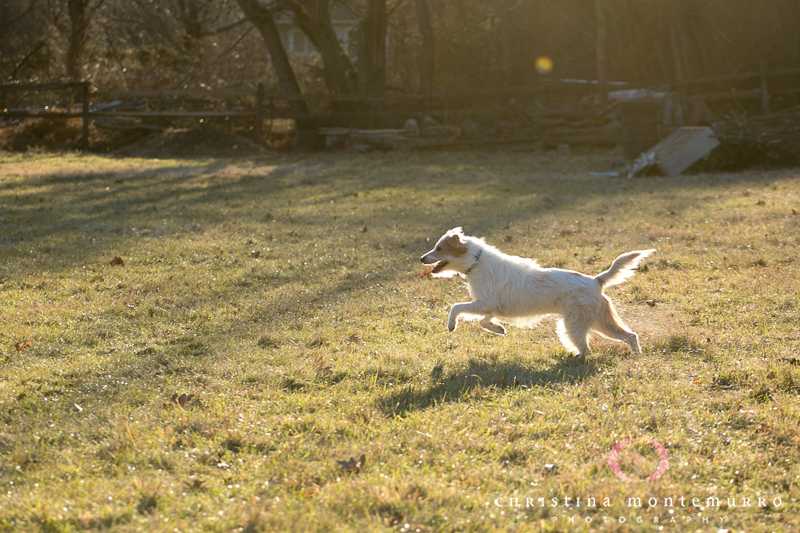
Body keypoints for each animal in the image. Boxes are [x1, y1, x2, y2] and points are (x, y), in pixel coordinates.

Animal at [422, 228, 652, 358]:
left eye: (439, 248)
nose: (421, 258)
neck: (477, 262)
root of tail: (596, 280)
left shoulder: (483, 303)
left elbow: (456, 308)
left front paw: (451, 325)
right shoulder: (489, 307)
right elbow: (483, 321)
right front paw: (498, 329)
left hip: (577, 325)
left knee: (590, 349)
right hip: (599, 321)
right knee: (630, 336)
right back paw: (637, 357)